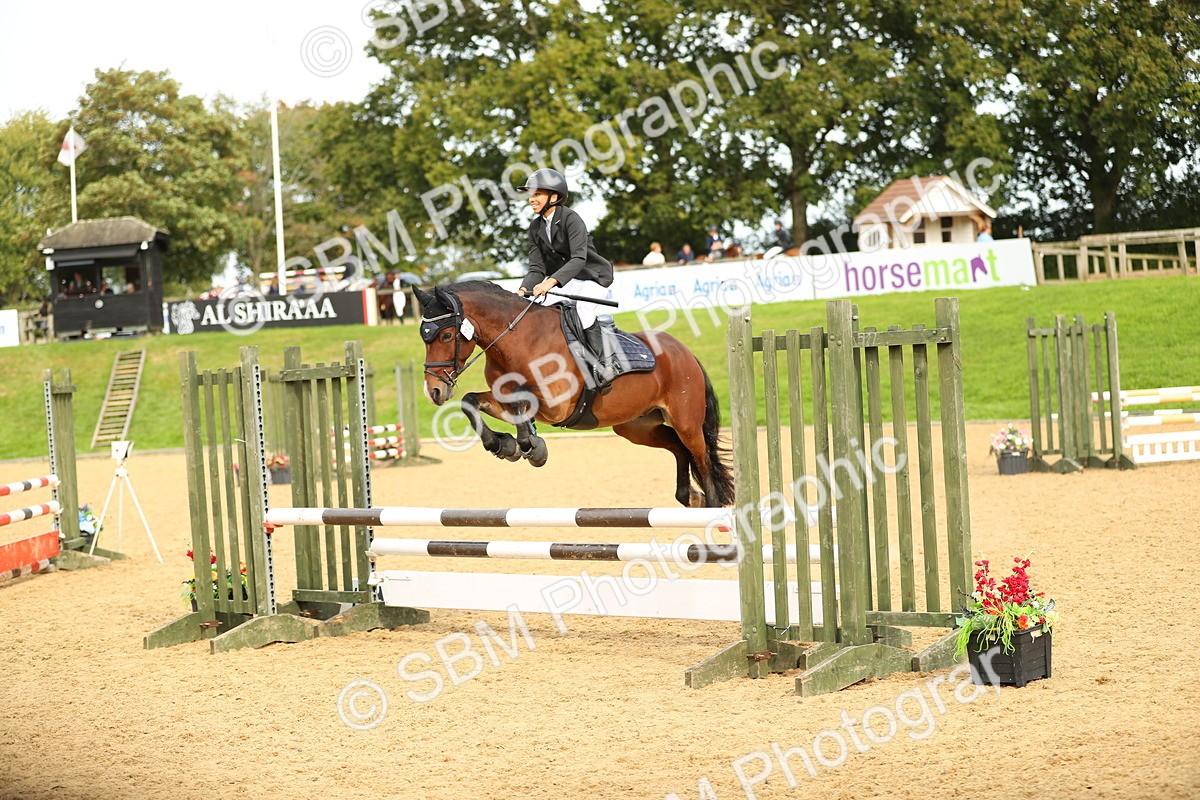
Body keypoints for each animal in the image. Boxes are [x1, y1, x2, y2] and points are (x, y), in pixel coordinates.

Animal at [413, 282, 734, 508]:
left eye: (446, 335)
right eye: (423, 337)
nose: (434, 391)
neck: (517, 341)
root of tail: (685, 352)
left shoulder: (556, 406)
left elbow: (522, 403)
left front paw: (530, 447)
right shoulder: (502, 395)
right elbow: (473, 402)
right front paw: (504, 445)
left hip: (686, 422)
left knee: (702, 459)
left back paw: (711, 507)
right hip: (636, 426)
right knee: (678, 448)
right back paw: (689, 497)